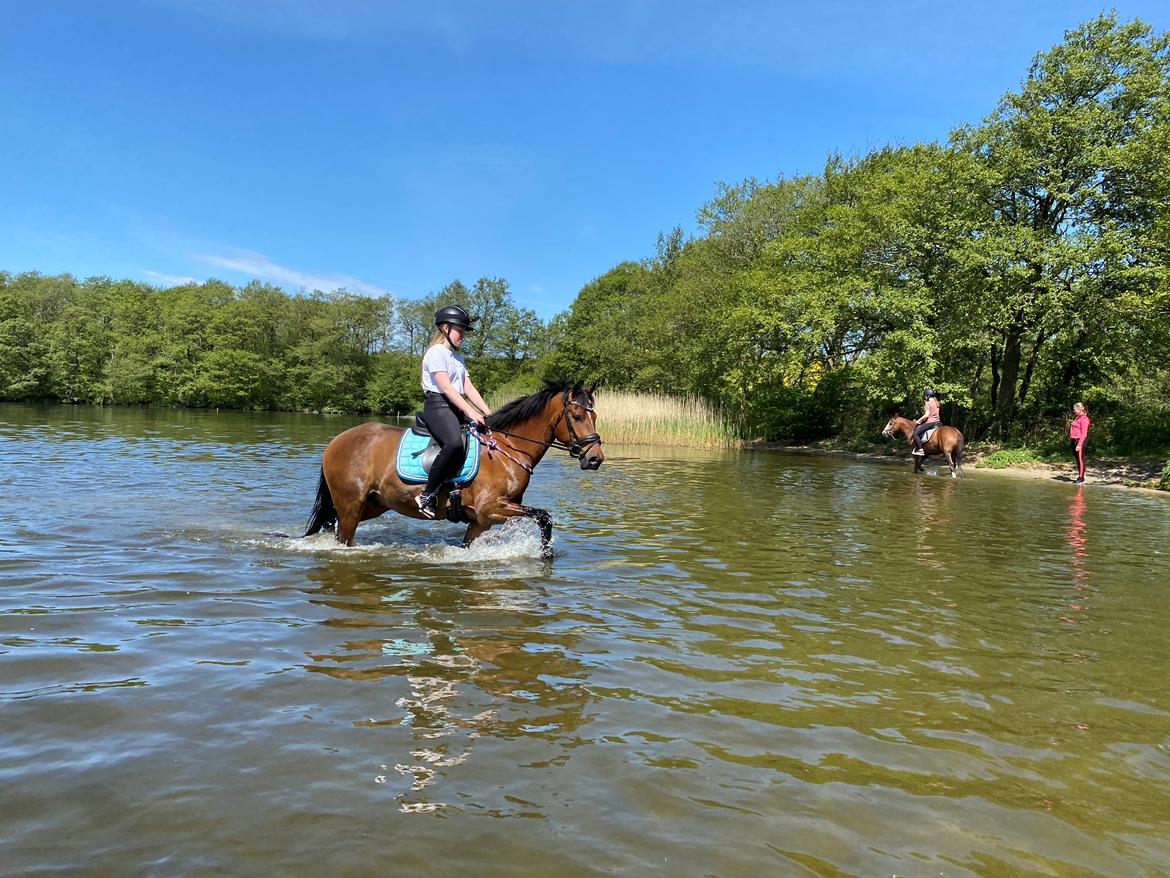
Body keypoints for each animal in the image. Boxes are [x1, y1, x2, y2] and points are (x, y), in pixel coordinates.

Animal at [301, 379, 603, 557]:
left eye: (596, 416)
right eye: (577, 416)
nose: (595, 458)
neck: (507, 449)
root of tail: (335, 442)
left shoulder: (481, 521)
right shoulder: (491, 508)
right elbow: (544, 517)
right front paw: (546, 554)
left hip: (372, 505)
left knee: (329, 525)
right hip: (350, 506)